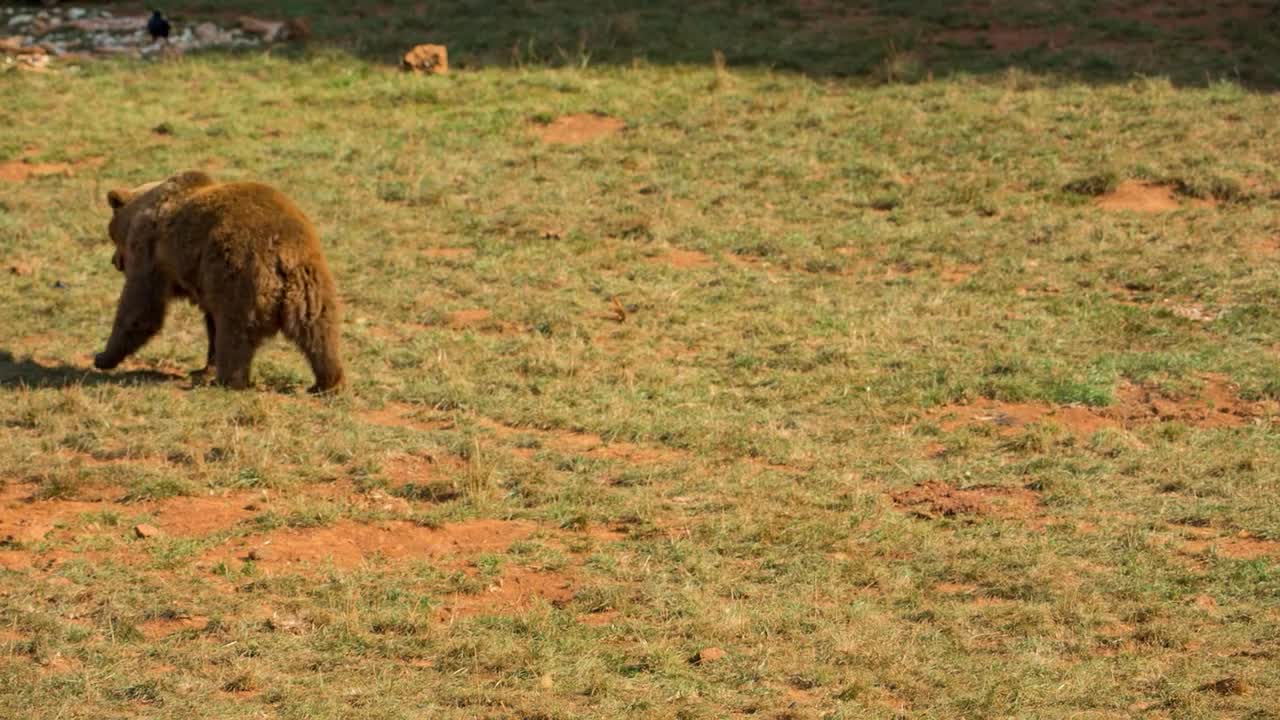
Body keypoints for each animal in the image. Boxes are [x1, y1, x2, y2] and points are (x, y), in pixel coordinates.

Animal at [97, 169, 345, 392]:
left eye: (112, 234)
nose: (114, 261)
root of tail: (283, 254)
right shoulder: (205, 280)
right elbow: (210, 321)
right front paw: (204, 368)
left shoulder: (151, 251)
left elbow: (140, 307)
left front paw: (102, 357)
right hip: (310, 287)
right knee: (320, 332)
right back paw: (327, 382)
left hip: (241, 276)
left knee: (235, 332)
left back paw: (229, 381)